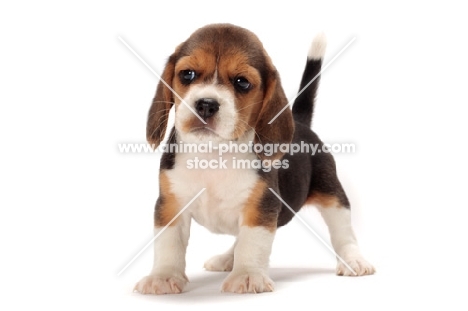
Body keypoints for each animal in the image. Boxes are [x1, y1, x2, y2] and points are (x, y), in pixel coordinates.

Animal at [133, 23, 374, 294]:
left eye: (242, 82)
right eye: (187, 75)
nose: (206, 104)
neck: (213, 153)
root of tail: (299, 121)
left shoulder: (261, 207)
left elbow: (252, 243)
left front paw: (247, 275)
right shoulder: (170, 205)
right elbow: (168, 244)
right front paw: (163, 277)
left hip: (332, 195)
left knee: (343, 232)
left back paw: (354, 260)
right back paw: (227, 258)